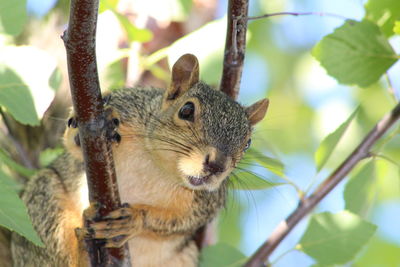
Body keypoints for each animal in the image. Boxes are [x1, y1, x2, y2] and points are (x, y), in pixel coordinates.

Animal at [10, 53, 268, 266]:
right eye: (186, 110)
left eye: (247, 142)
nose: (217, 165)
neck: (158, 167)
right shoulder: (128, 107)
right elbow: (73, 145)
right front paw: (92, 126)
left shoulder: (206, 202)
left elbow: (182, 221)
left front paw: (135, 219)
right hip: (44, 200)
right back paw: (84, 252)